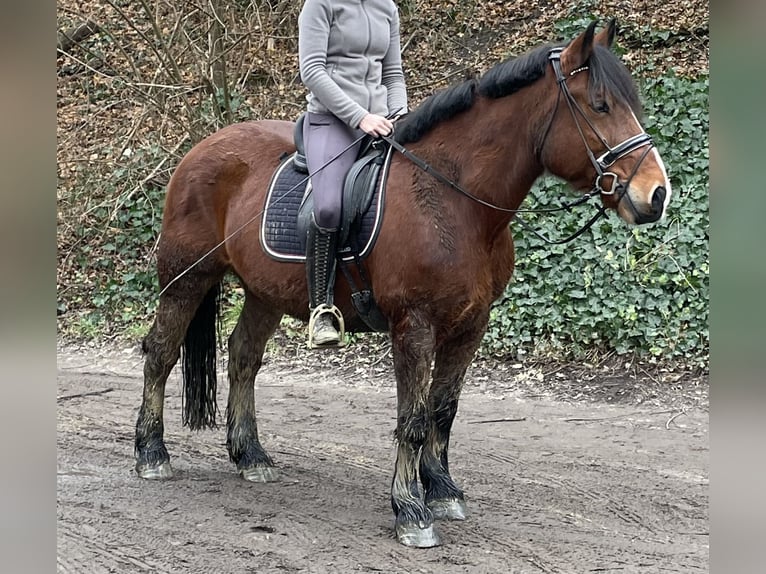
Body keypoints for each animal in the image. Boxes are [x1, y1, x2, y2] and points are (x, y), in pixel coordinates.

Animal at [136, 22, 672, 552]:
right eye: (600, 105)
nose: (658, 195)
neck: (455, 201)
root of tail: (201, 149)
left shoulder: (471, 324)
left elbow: (443, 411)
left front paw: (442, 491)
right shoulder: (413, 324)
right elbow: (413, 420)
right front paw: (411, 511)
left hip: (264, 292)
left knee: (244, 356)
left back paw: (250, 456)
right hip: (186, 278)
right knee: (161, 353)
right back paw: (151, 453)